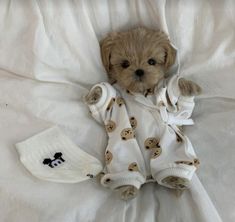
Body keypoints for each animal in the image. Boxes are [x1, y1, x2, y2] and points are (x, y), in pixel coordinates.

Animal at [85, 26, 201, 199]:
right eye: (125, 64)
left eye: (152, 62)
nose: (139, 71)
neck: (141, 92)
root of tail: (149, 176)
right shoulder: (113, 102)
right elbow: (104, 106)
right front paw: (96, 93)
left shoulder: (170, 104)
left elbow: (183, 111)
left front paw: (186, 86)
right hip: (122, 156)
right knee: (126, 171)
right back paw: (127, 187)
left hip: (172, 149)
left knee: (172, 164)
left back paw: (175, 179)